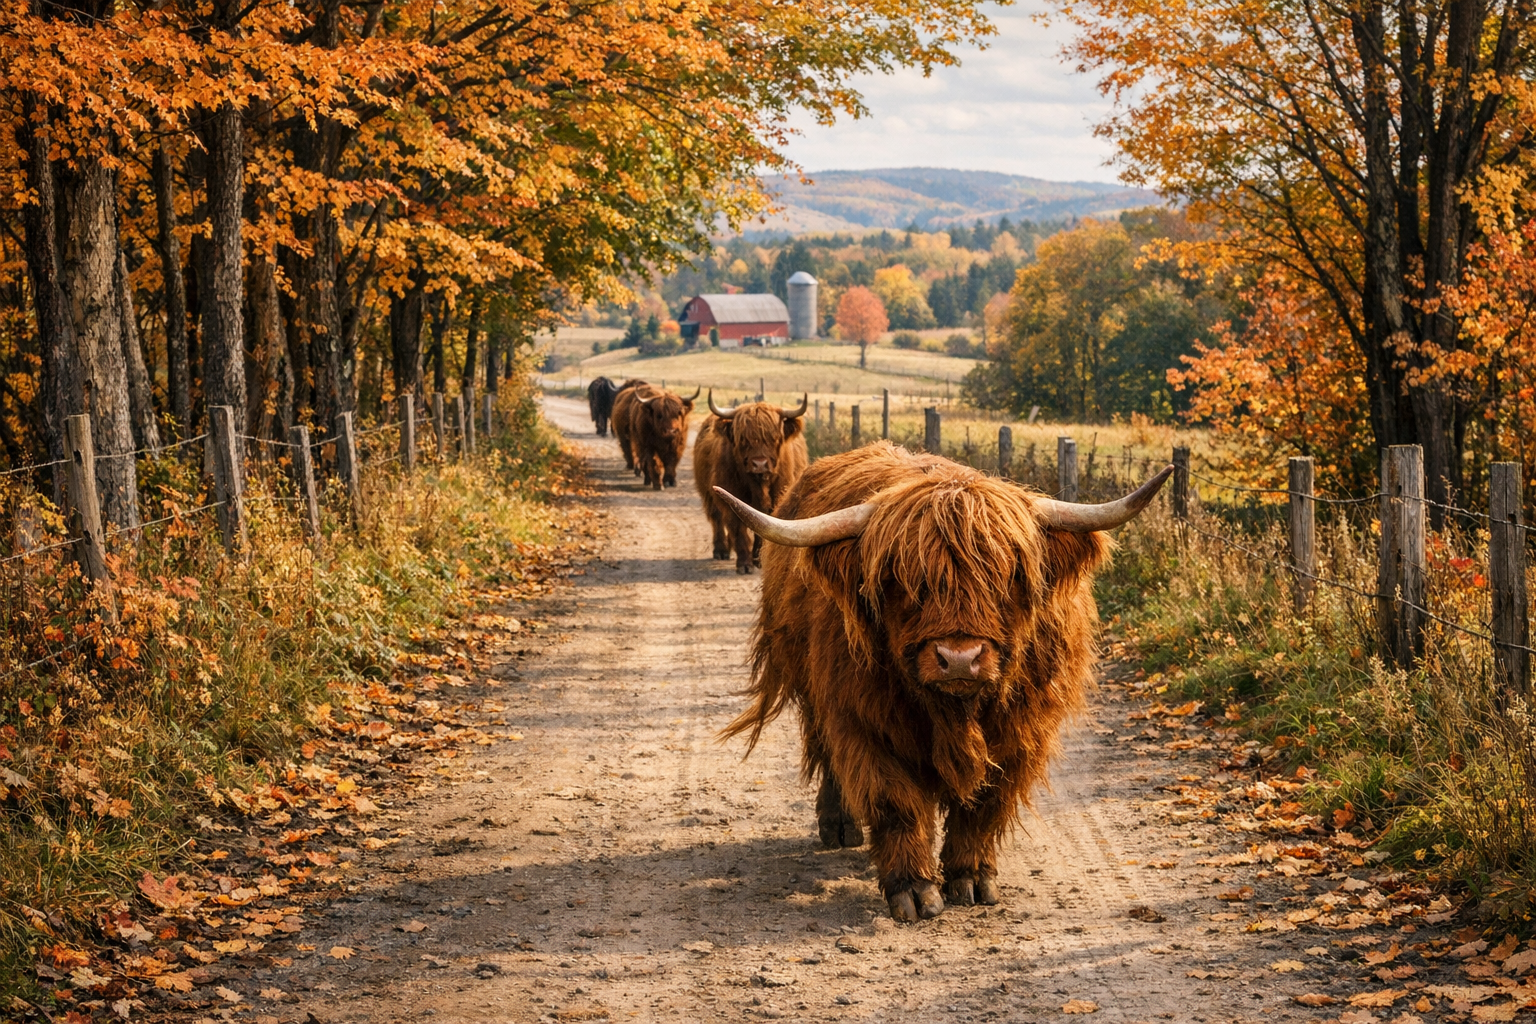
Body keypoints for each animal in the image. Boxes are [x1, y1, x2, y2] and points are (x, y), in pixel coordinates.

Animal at [693, 391, 809, 574]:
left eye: (774, 438)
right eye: (743, 439)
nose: (759, 464)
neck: (759, 486)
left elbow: (765, 526)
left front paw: (759, 560)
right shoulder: (731, 496)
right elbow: (738, 529)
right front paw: (745, 564)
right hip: (709, 494)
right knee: (717, 518)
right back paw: (721, 550)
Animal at [715, 442, 1171, 922]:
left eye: (1006, 576)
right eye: (904, 580)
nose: (959, 660)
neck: (954, 712)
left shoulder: (1020, 733)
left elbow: (985, 804)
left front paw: (971, 877)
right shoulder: (865, 721)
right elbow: (895, 803)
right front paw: (914, 890)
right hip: (815, 687)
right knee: (828, 752)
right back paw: (838, 826)